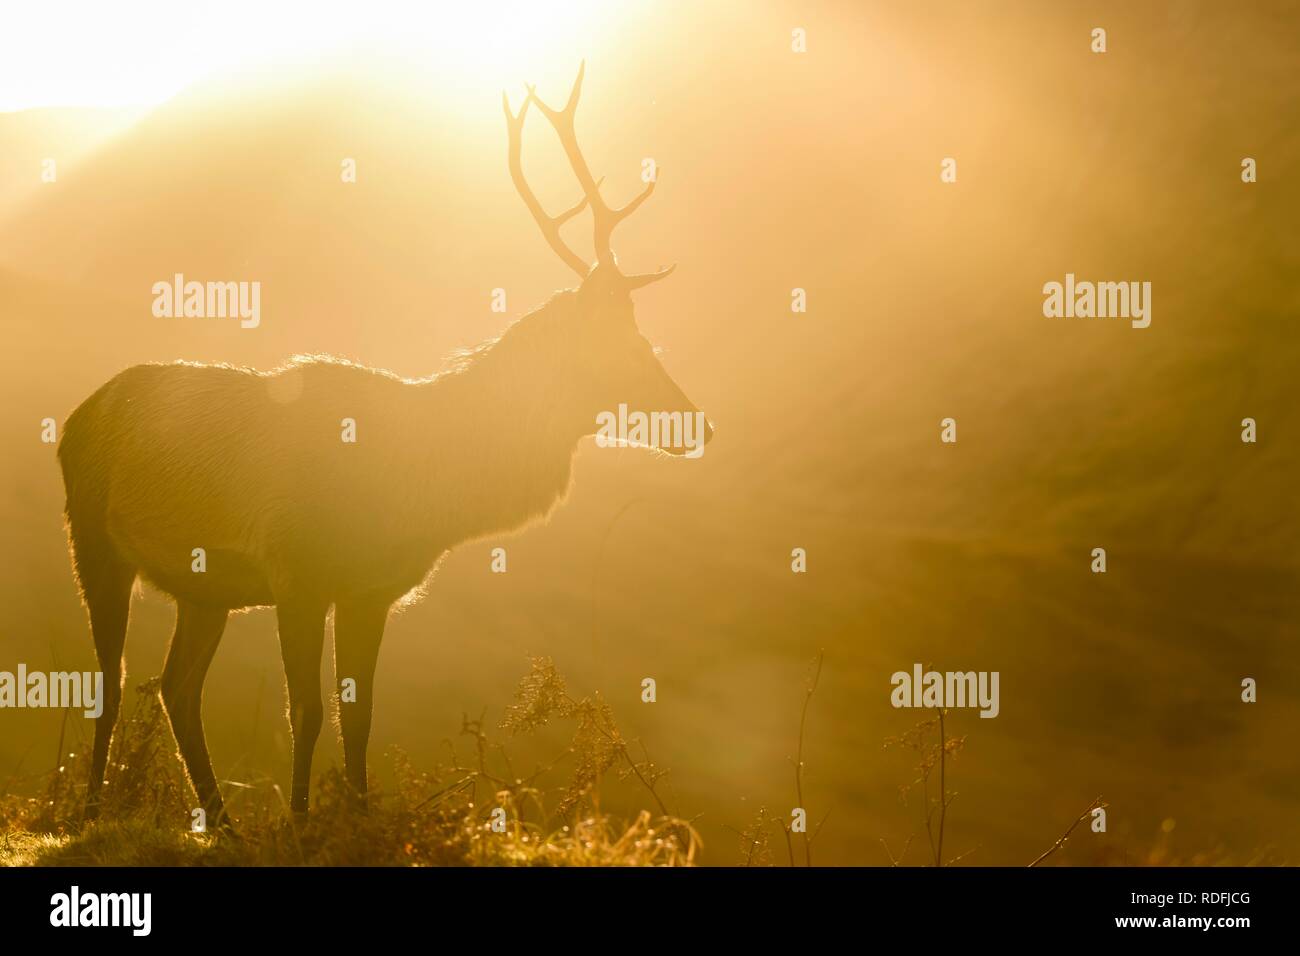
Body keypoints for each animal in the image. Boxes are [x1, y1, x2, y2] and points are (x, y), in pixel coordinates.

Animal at [61, 65, 712, 832]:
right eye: (629, 345)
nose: (698, 423)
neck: (410, 492)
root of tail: (77, 415)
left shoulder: (367, 592)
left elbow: (360, 717)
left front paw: (356, 817)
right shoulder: (296, 570)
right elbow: (307, 712)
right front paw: (300, 825)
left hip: (204, 588)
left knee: (176, 687)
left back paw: (221, 824)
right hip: (92, 540)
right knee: (110, 682)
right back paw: (89, 813)